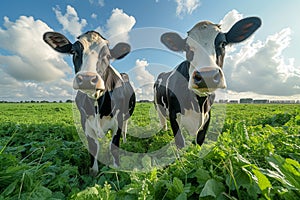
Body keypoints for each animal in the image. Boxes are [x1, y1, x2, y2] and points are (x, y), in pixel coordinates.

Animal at [43, 30, 135, 174]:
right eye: (74, 52)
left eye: (107, 55)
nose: (87, 79)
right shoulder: (85, 121)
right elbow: (93, 147)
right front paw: (94, 172)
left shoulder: (118, 120)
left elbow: (114, 147)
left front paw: (115, 170)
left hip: (126, 115)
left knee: (125, 128)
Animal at [154, 17, 262, 148]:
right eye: (187, 48)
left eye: (223, 43)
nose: (207, 75)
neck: (198, 102)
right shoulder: (173, 114)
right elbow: (180, 143)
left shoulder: (207, 116)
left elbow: (199, 142)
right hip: (158, 107)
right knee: (163, 122)